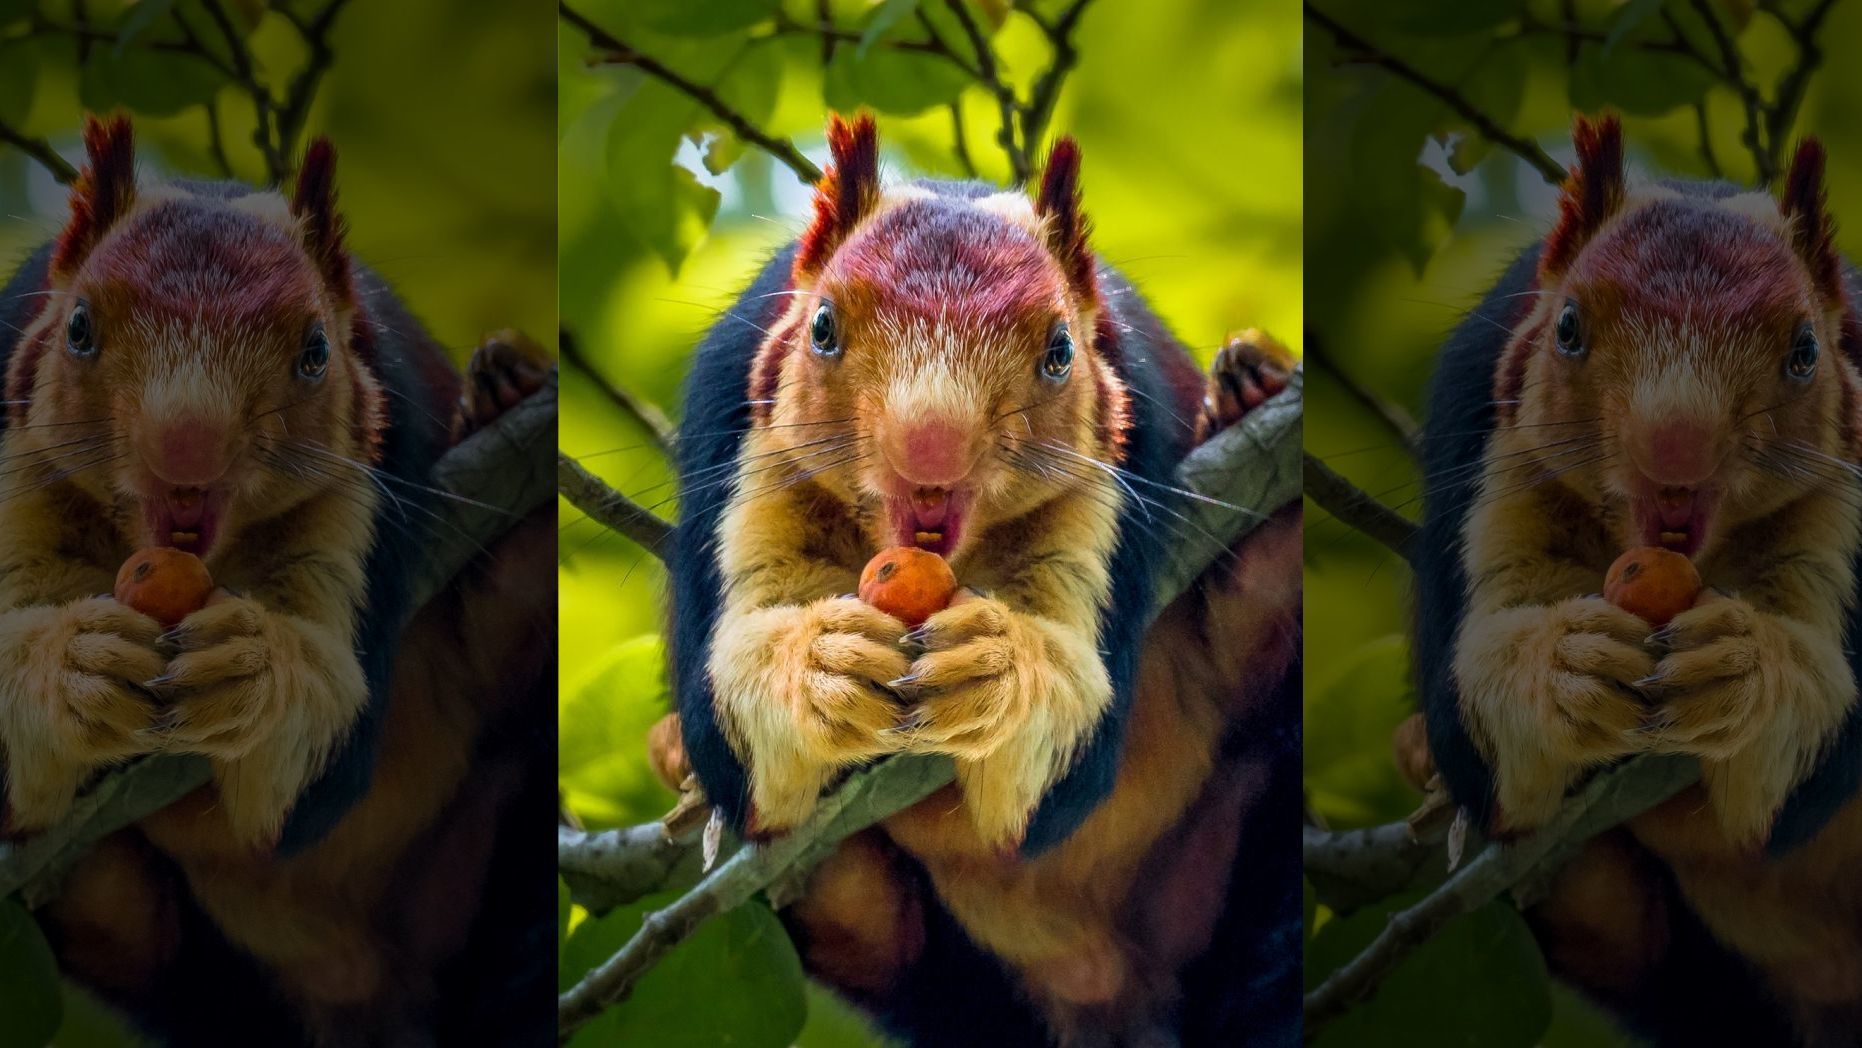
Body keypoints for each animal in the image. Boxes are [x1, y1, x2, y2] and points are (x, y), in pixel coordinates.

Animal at [0, 116, 557, 1044]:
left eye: (315, 351)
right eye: (77, 328)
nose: (186, 448)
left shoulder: (376, 488)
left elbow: (321, 770)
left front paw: (252, 672)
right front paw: (66, 667)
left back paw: (510, 416)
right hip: (197, 977)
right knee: (129, 927)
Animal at [662, 113, 1302, 1043]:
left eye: (1061, 350)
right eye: (821, 327)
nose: (931, 448)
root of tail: (1103, 987)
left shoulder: (1123, 471)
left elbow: (1065, 764)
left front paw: (997, 671)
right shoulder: (735, 428)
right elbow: (733, 731)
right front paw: (814, 666)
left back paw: (1256, 421)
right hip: (944, 978)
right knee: (879, 938)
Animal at [1414, 114, 1862, 1041]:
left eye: (1806, 350)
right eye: (1568, 328)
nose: (1675, 450)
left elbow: (1807, 769)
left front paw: (1745, 673)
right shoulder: (1478, 428)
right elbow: (1474, 728)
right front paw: (1561, 669)